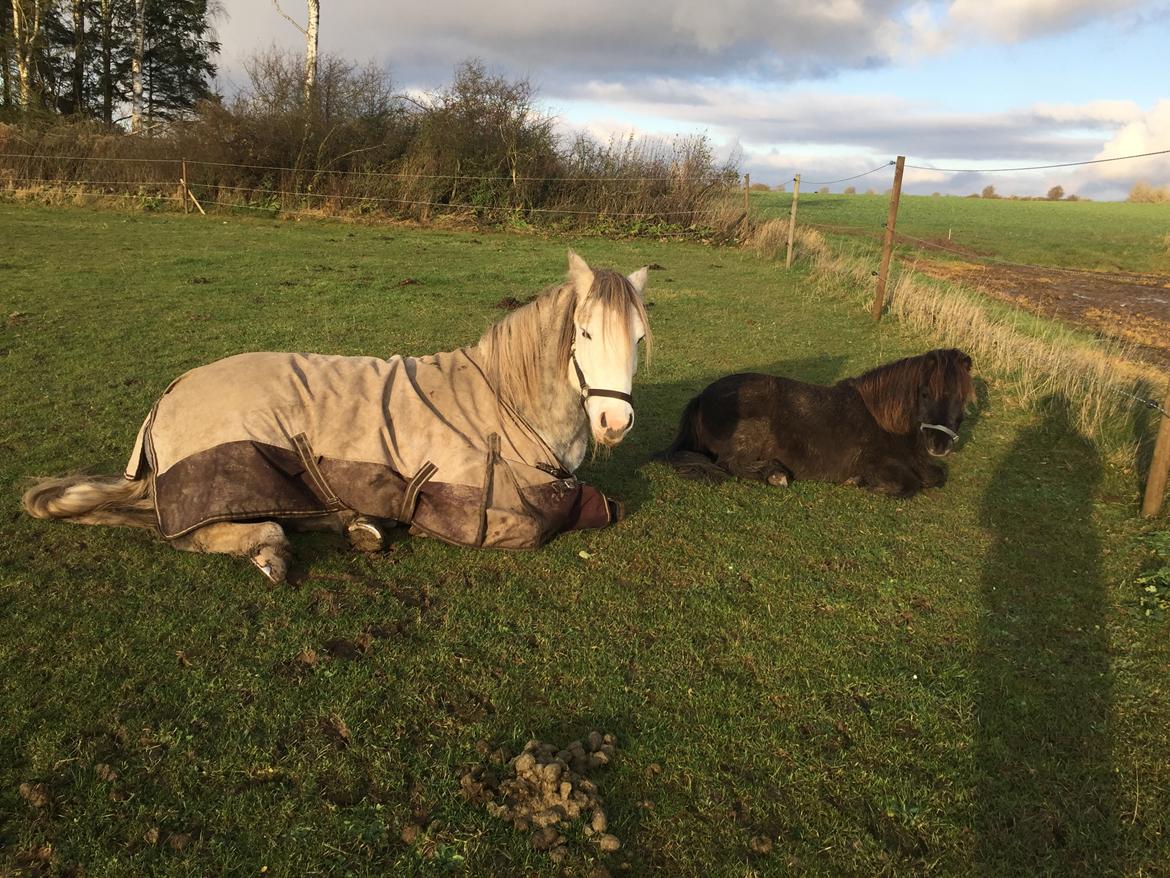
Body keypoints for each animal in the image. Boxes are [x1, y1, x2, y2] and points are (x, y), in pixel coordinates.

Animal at [20, 250, 650, 580]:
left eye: (639, 339)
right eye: (584, 333)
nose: (615, 425)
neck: (503, 402)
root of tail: (166, 400)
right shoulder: (490, 515)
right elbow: (550, 522)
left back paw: (354, 523)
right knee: (190, 532)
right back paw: (272, 547)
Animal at [664, 351, 973, 501]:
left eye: (962, 397)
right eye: (925, 393)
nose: (939, 445)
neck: (885, 422)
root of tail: (701, 397)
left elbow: (936, 475)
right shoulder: (878, 463)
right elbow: (911, 484)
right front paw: (863, 484)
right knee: (729, 464)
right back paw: (775, 475)